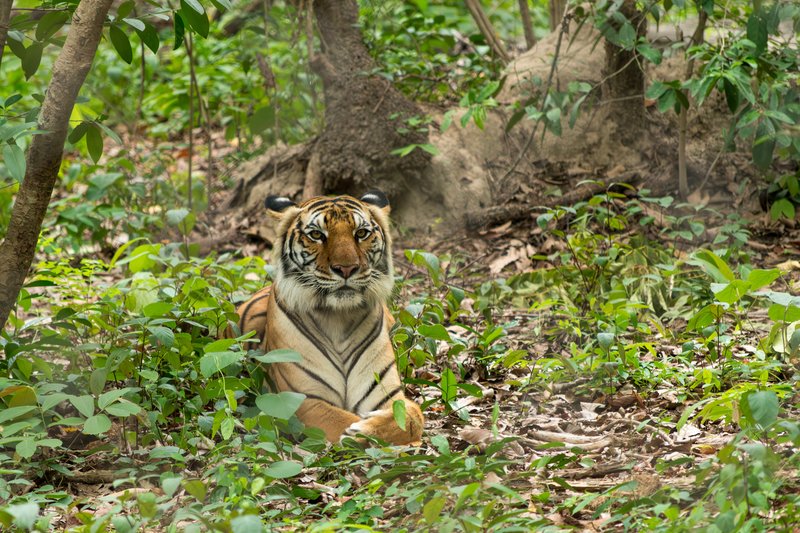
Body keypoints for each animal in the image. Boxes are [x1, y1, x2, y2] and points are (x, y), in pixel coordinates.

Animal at [228, 191, 424, 445]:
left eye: (361, 233)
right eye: (316, 235)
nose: (347, 268)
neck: (338, 317)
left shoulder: (387, 395)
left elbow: (413, 418)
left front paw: (366, 428)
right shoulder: (302, 401)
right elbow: (343, 421)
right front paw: (357, 432)